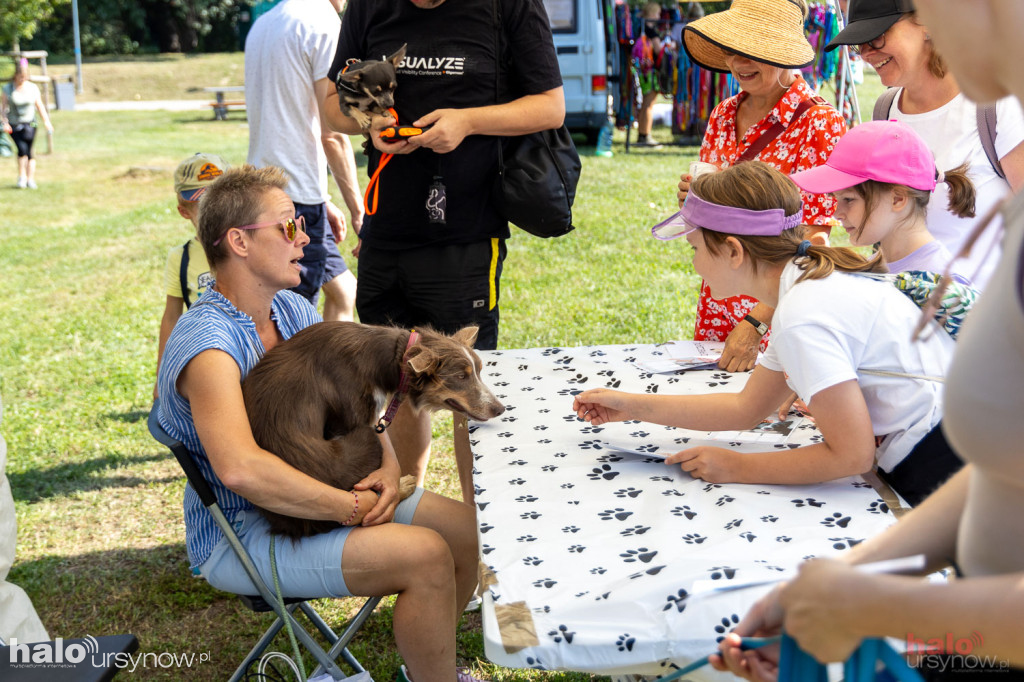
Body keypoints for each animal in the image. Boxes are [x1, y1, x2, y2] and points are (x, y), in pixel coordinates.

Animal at [244, 321, 507, 540]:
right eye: (460, 377)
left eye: (479, 371)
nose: (500, 409)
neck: (394, 357)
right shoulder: (357, 415)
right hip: (366, 438)